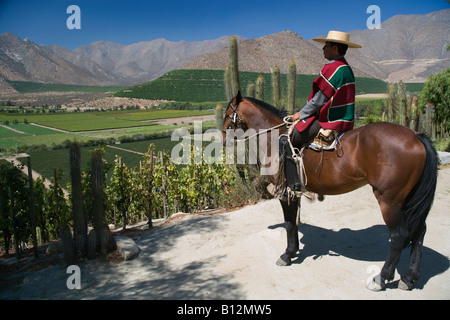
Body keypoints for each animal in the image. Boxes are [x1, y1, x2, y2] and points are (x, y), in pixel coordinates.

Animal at [223, 91, 438, 292]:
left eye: (227, 114)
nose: (223, 138)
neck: (275, 138)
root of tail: (416, 137)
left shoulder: (285, 192)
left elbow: (289, 223)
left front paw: (287, 255)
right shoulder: (295, 191)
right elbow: (295, 223)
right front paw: (293, 251)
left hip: (389, 201)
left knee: (400, 235)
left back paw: (381, 278)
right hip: (409, 199)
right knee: (419, 232)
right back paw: (409, 278)